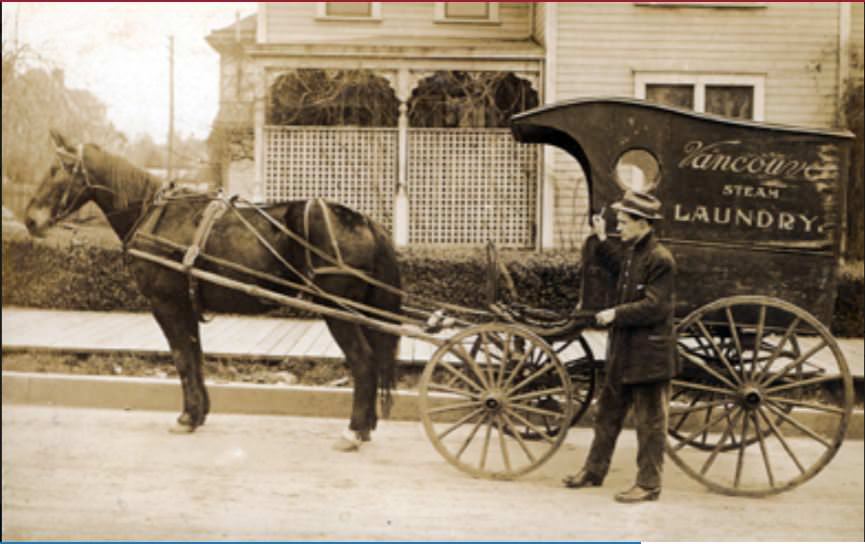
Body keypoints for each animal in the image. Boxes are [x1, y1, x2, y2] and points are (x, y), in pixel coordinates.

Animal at [26, 131, 402, 450]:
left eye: (57, 170)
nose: (30, 219)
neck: (155, 214)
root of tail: (365, 221)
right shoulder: (187, 304)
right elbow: (195, 355)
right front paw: (198, 413)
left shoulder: (167, 303)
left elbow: (181, 356)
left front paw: (186, 416)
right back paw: (366, 426)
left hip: (337, 310)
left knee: (363, 361)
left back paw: (354, 430)